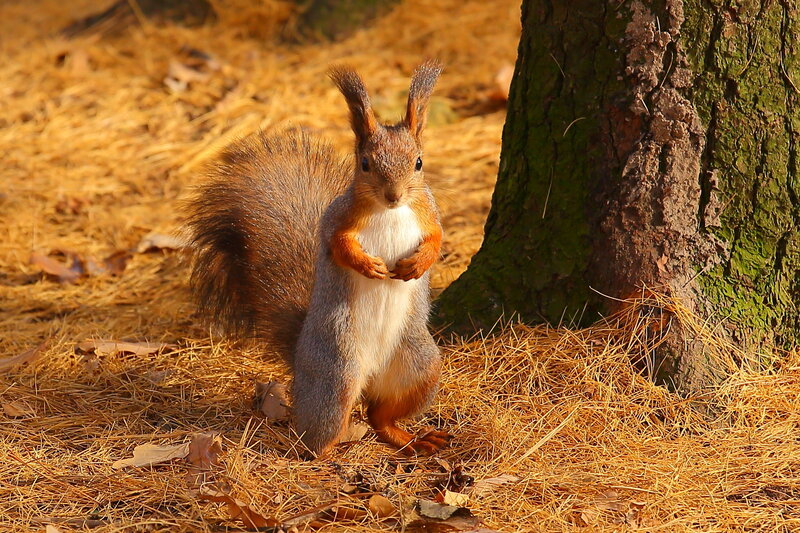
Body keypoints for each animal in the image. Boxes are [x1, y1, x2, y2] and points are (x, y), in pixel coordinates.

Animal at [186, 60, 451, 457]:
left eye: (419, 163)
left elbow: (436, 239)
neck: (391, 211)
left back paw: (407, 437)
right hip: (336, 372)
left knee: (379, 416)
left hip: (419, 367)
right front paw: (368, 265)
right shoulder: (336, 219)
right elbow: (337, 245)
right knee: (318, 431)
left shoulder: (428, 214)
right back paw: (327, 455)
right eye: (365, 163)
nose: (394, 195)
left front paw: (417, 264)